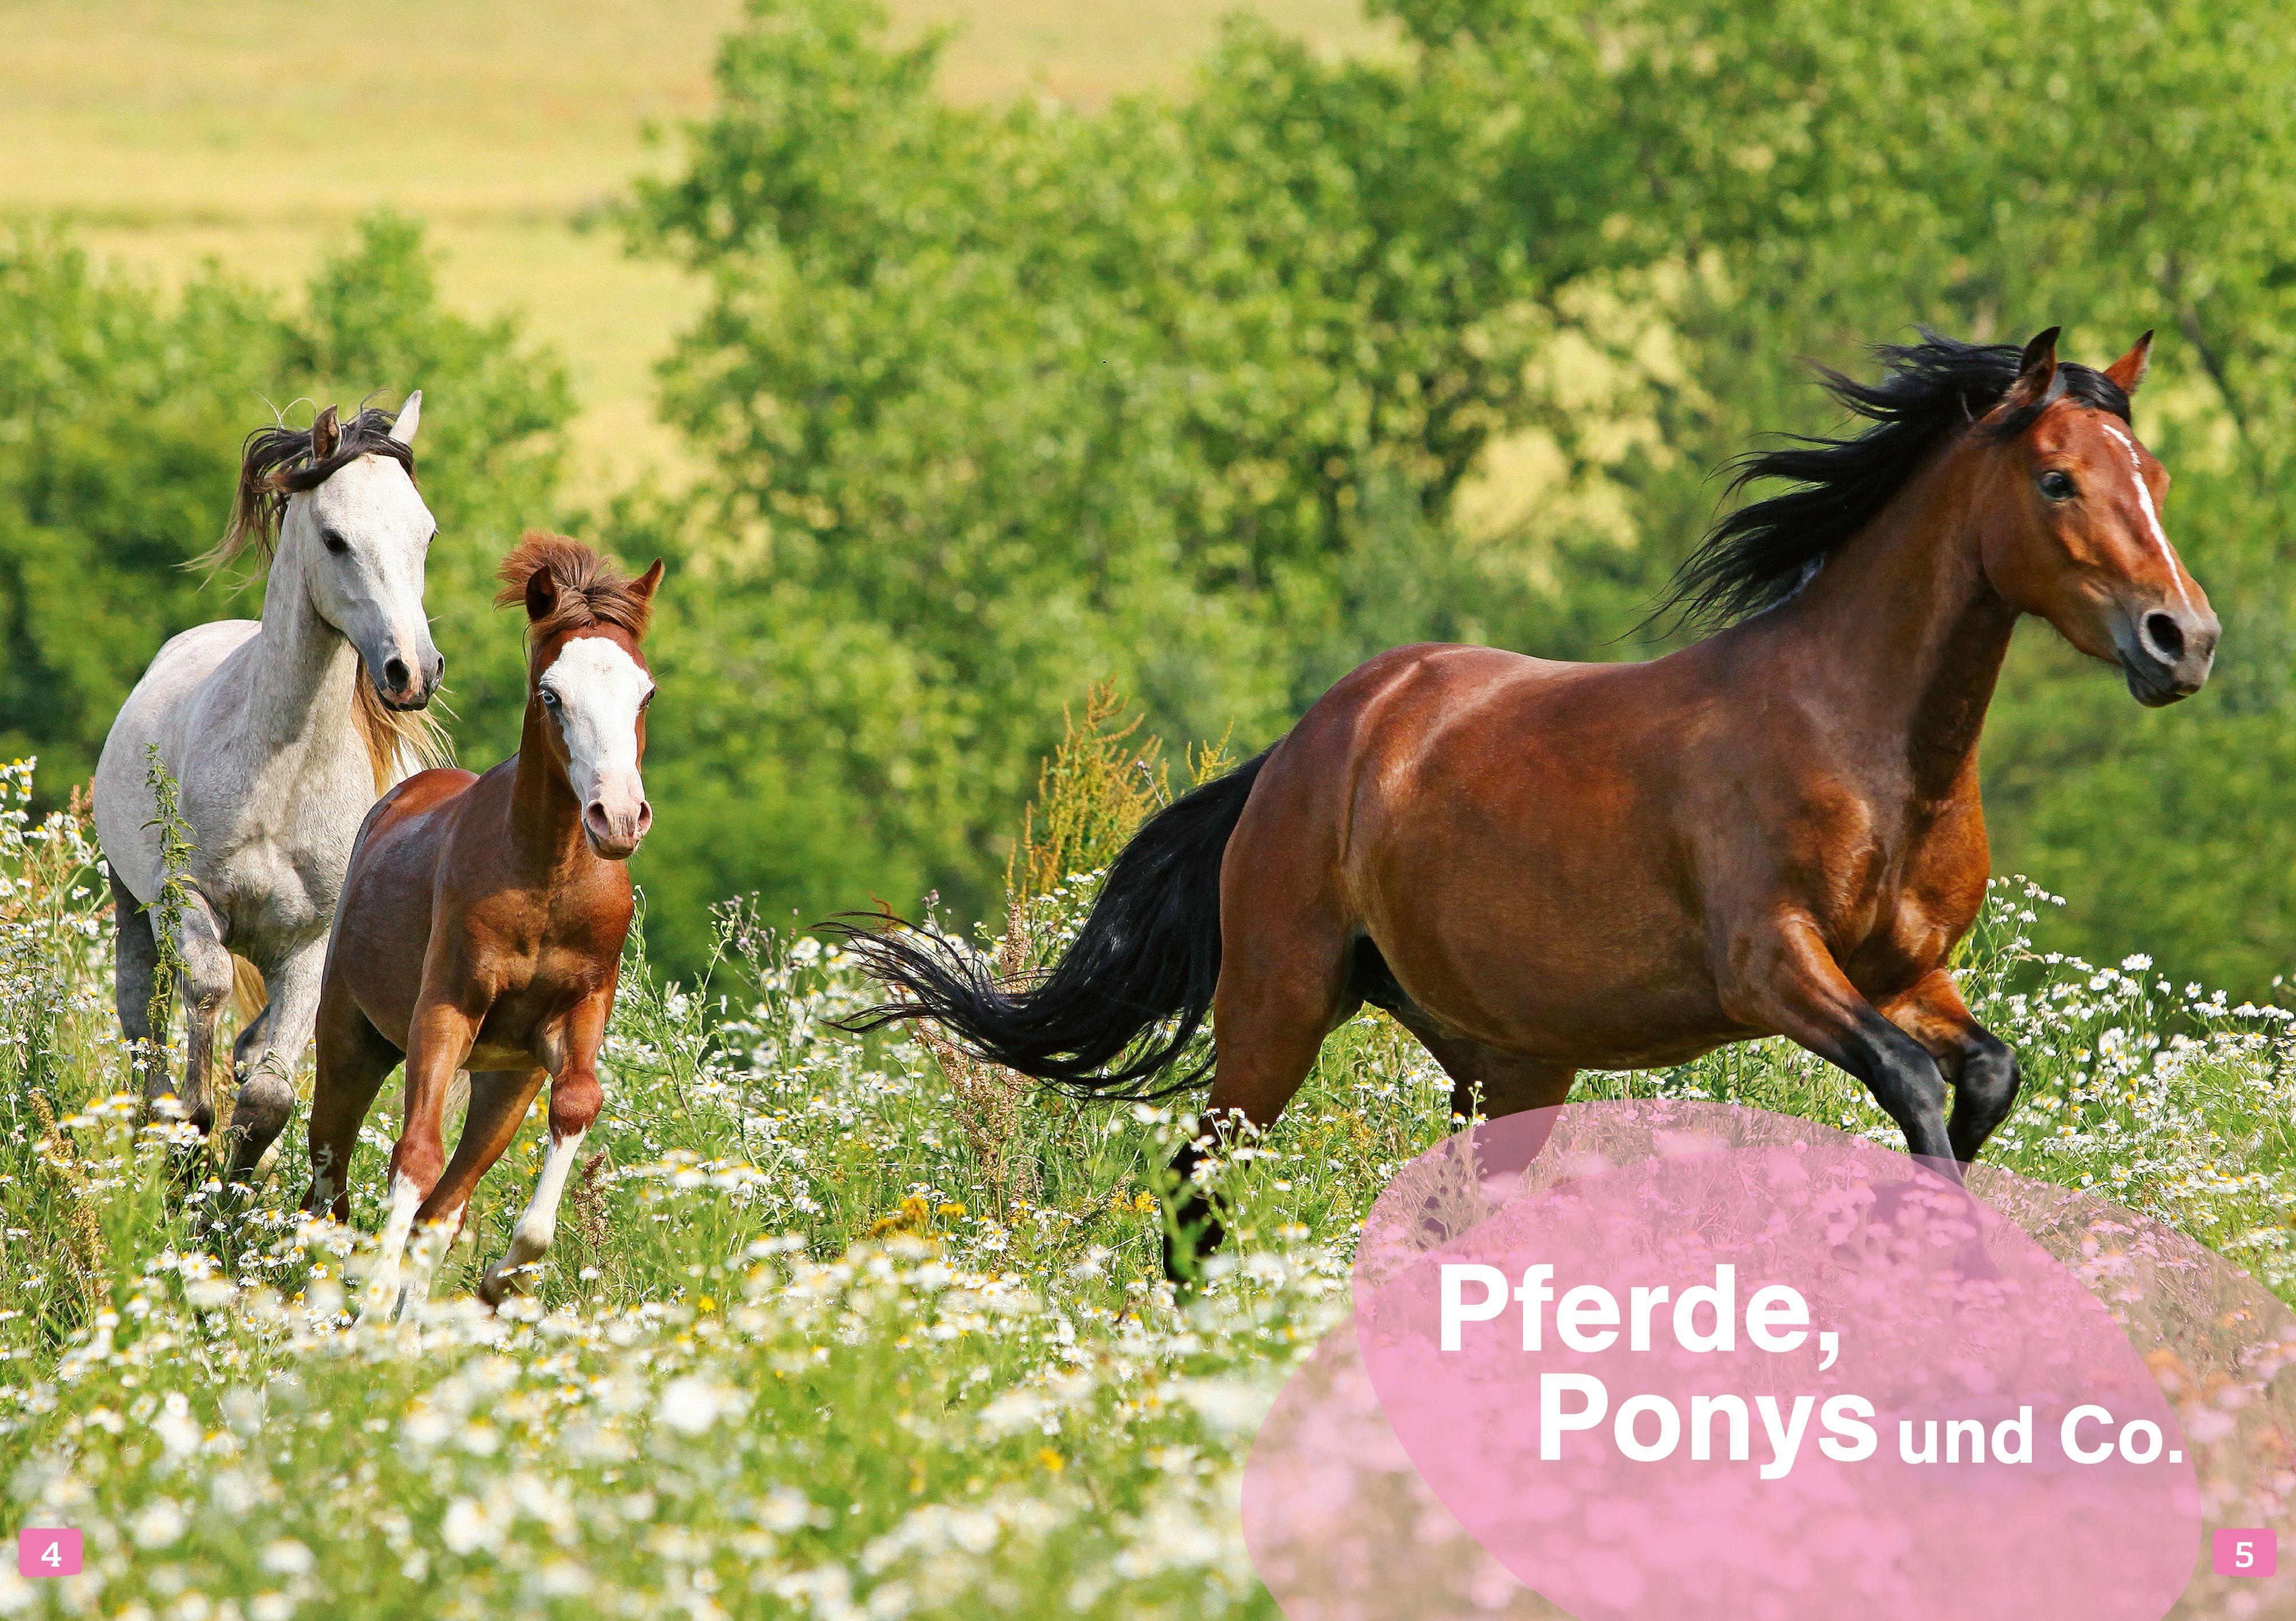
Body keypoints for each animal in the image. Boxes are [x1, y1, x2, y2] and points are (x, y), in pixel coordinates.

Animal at [94, 398, 447, 1182]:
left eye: (426, 532)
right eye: (335, 539)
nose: (412, 671)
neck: (284, 777)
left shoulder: (314, 941)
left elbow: (270, 1097)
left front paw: (230, 1185)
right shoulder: (186, 900)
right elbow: (206, 989)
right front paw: (190, 1130)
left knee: (252, 1045)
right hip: (131, 904)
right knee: (140, 1018)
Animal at [302, 533, 662, 1310]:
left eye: (646, 692)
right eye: (551, 695)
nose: (618, 818)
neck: (546, 879)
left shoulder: (572, 1017)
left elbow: (576, 1104)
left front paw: (505, 1278)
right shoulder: (446, 1010)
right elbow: (413, 1155)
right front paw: (374, 1306)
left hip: (503, 1082)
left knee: (443, 1208)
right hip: (351, 1038)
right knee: (328, 1182)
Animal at [842, 328, 2220, 1278]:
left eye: (2151, 471)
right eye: (2056, 479)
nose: (2184, 639)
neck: (1867, 743)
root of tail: (1307, 744)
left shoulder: (1908, 973)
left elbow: (1984, 1077)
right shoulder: (1774, 966)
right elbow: (1916, 1089)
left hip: (1505, 1060)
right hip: (1278, 1008)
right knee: (1195, 1177)